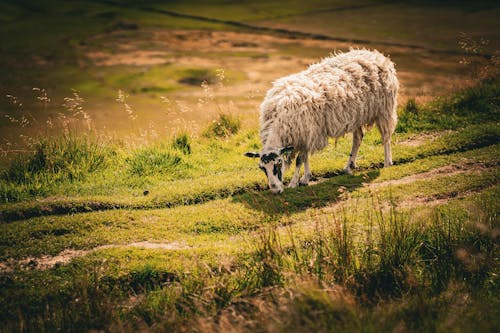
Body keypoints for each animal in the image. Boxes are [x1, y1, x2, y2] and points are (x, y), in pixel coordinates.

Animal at [245, 48, 398, 193]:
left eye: (278, 164)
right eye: (262, 168)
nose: (275, 190)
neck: (278, 122)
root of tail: (378, 55)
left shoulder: (307, 134)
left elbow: (300, 160)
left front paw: (294, 182)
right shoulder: (305, 136)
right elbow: (304, 158)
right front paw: (305, 178)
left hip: (384, 109)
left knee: (386, 137)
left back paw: (387, 162)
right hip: (357, 115)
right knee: (358, 138)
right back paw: (348, 167)